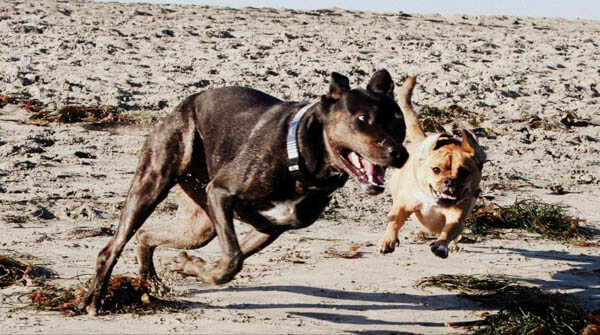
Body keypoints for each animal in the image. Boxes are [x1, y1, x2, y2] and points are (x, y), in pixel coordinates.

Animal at [83, 70, 408, 316]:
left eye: (399, 121)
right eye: (362, 119)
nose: (400, 154)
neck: (300, 156)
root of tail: (182, 104)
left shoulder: (269, 226)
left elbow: (231, 261)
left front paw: (192, 266)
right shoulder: (220, 193)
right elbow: (232, 259)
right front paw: (195, 266)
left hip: (198, 225)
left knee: (145, 235)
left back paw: (150, 280)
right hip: (153, 182)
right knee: (113, 246)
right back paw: (95, 298)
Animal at [380, 77, 488, 260]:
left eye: (464, 173)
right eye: (436, 169)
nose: (450, 181)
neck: (433, 201)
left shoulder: (456, 217)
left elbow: (449, 231)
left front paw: (441, 246)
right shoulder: (403, 206)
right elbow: (393, 222)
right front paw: (388, 241)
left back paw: (453, 246)